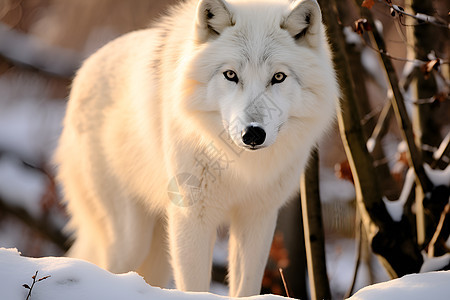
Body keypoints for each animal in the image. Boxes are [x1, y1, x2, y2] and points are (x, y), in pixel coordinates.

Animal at [54, 0, 338, 296]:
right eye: (230, 75)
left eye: (279, 77)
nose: (253, 134)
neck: (240, 168)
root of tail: (83, 70)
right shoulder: (192, 217)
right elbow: (194, 286)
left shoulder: (257, 217)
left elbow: (246, 286)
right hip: (130, 240)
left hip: (158, 248)